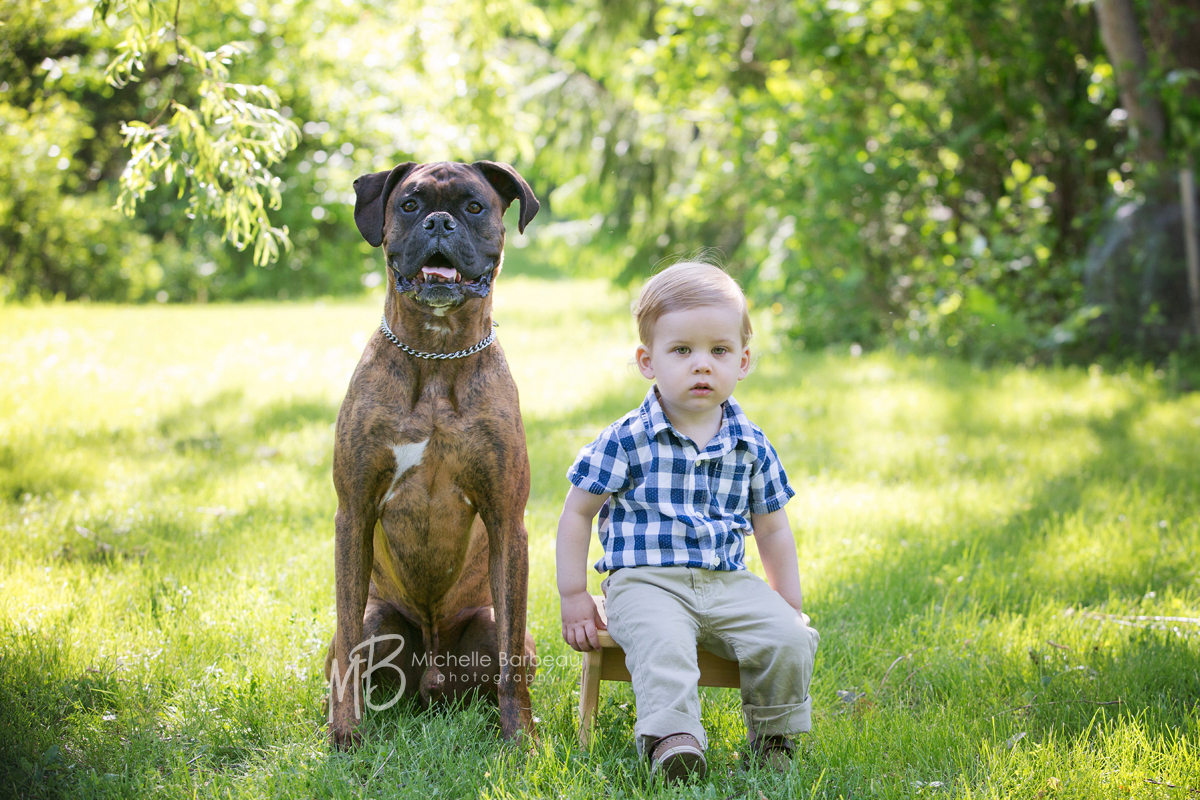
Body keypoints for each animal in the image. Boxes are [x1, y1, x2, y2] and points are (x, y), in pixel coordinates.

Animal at [324, 159, 540, 748]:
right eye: (410, 204)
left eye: (474, 206)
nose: (439, 222)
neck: (437, 356)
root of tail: (431, 679)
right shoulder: (354, 513)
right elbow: (347, 639)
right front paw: (346, 733)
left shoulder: (506, 520)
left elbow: (510, 660)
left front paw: (520, 739)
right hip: (379, 622)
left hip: (489, 624)